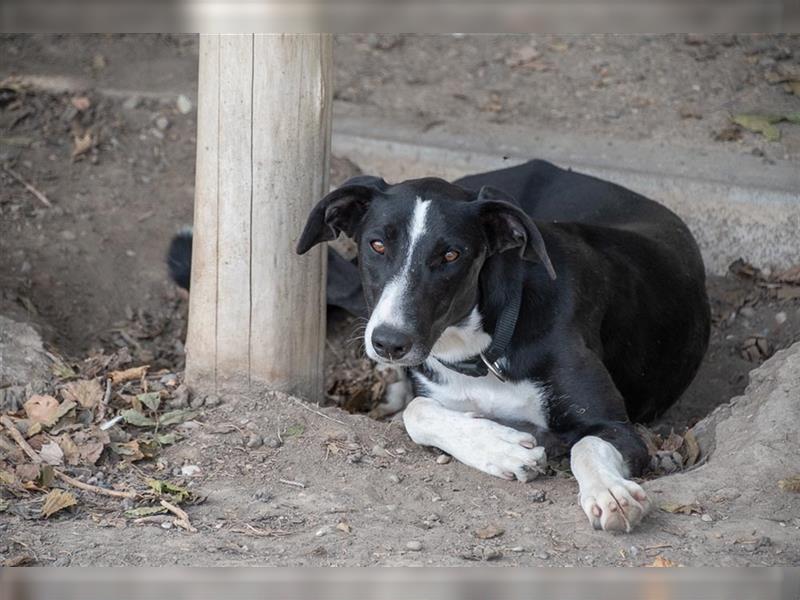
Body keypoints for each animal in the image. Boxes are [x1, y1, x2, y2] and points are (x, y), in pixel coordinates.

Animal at [296, 161, 708, 536]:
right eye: (377, 244)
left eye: (451, 255)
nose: (389, 343)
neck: (481, 349)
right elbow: (418, 411)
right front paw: (500, 447)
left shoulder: (618, 428)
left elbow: (587, 445)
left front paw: (609, 491)